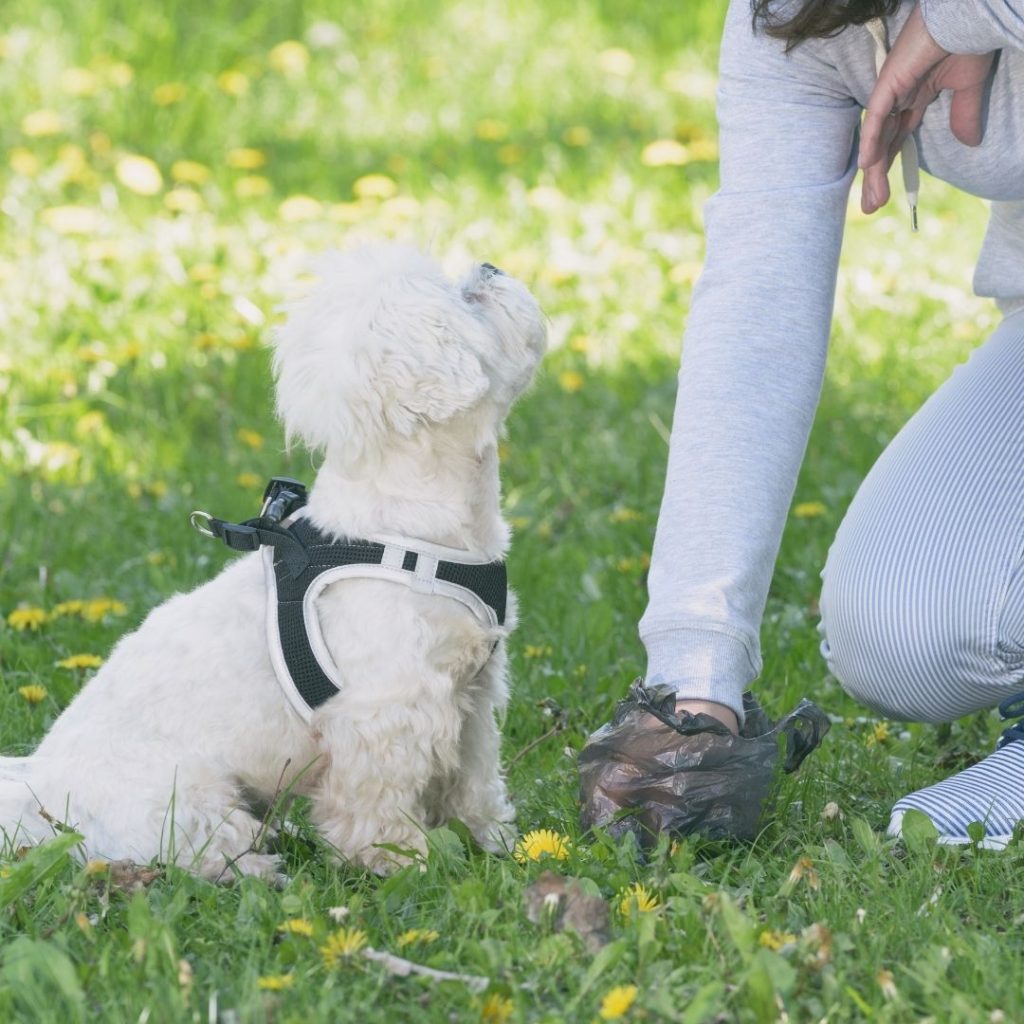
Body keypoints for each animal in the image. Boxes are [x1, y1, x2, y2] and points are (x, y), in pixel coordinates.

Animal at [0, 245, 548, 880]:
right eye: (468, 298)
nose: (490, 267)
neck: (406, 528)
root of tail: (44, 790)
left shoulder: (474, 694)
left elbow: (474, 781)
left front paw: (495, 841)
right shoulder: (385, 713)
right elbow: (378, 803)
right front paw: (400, 859)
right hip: (185, 802)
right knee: (203, 848)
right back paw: (259, 866)